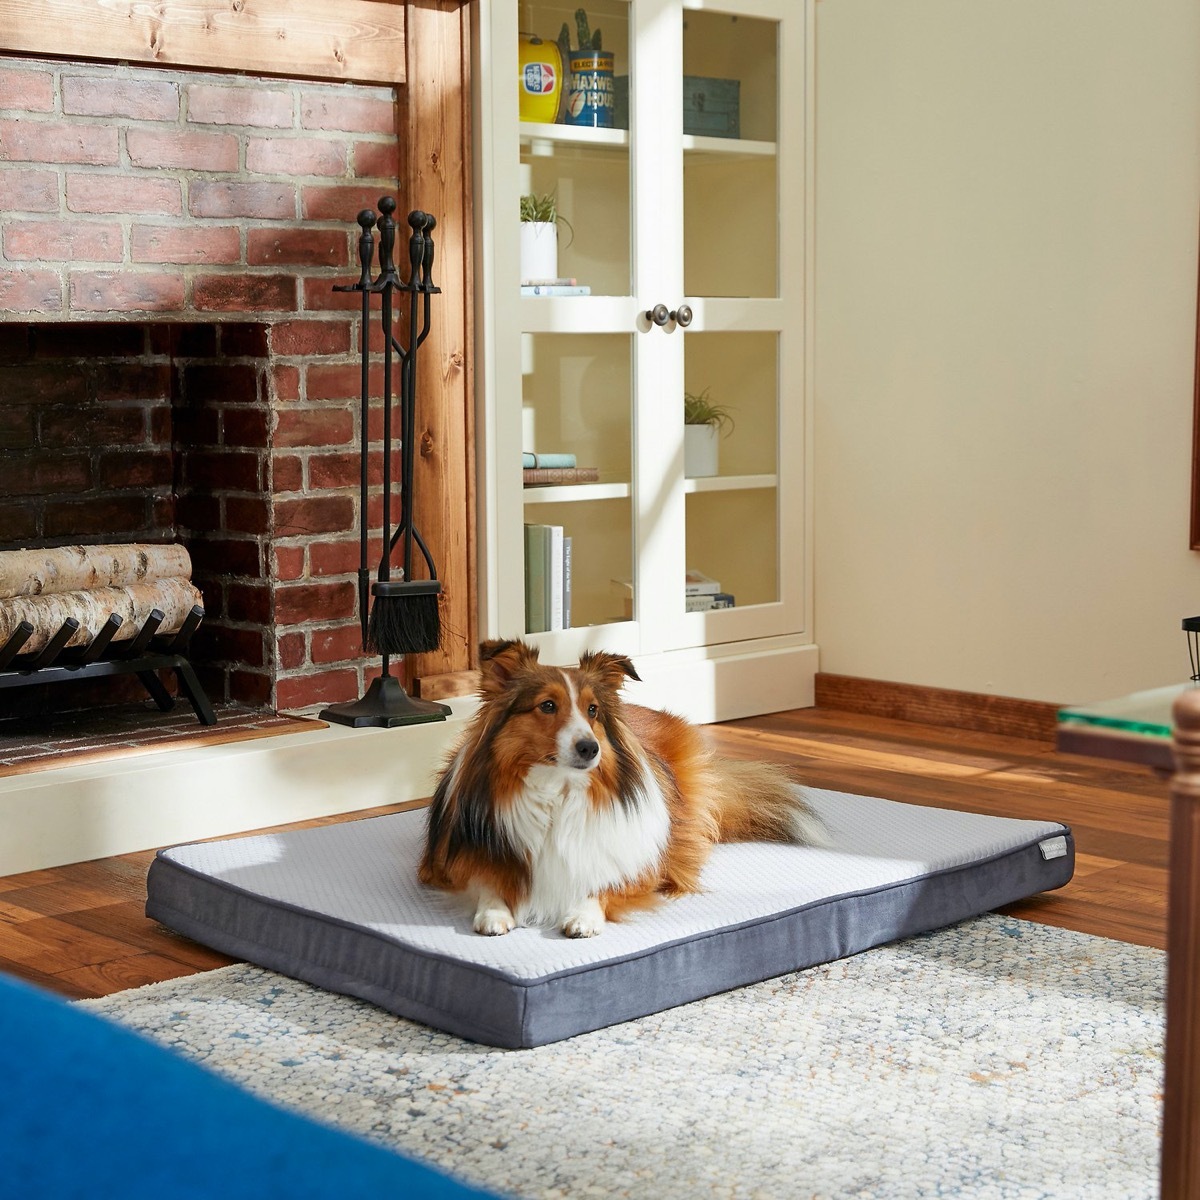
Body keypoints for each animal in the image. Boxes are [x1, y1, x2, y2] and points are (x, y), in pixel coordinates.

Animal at [415, 638, 825, 936]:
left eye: (593, 710)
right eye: (547, 705)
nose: (590, 748)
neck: (557, 794)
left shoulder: (637, 863)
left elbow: (605, 882)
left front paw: (584, 915)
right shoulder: (449, 861)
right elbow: (484, 879)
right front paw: (494, 912)